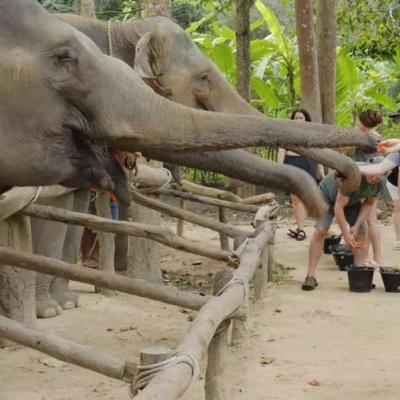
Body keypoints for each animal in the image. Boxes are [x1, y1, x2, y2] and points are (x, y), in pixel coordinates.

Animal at [0, 0, 378, 318]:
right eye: (204, 78)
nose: (372, 139)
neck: (122, 27)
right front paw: (49, 311)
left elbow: (73, 203)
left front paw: (64, 303)